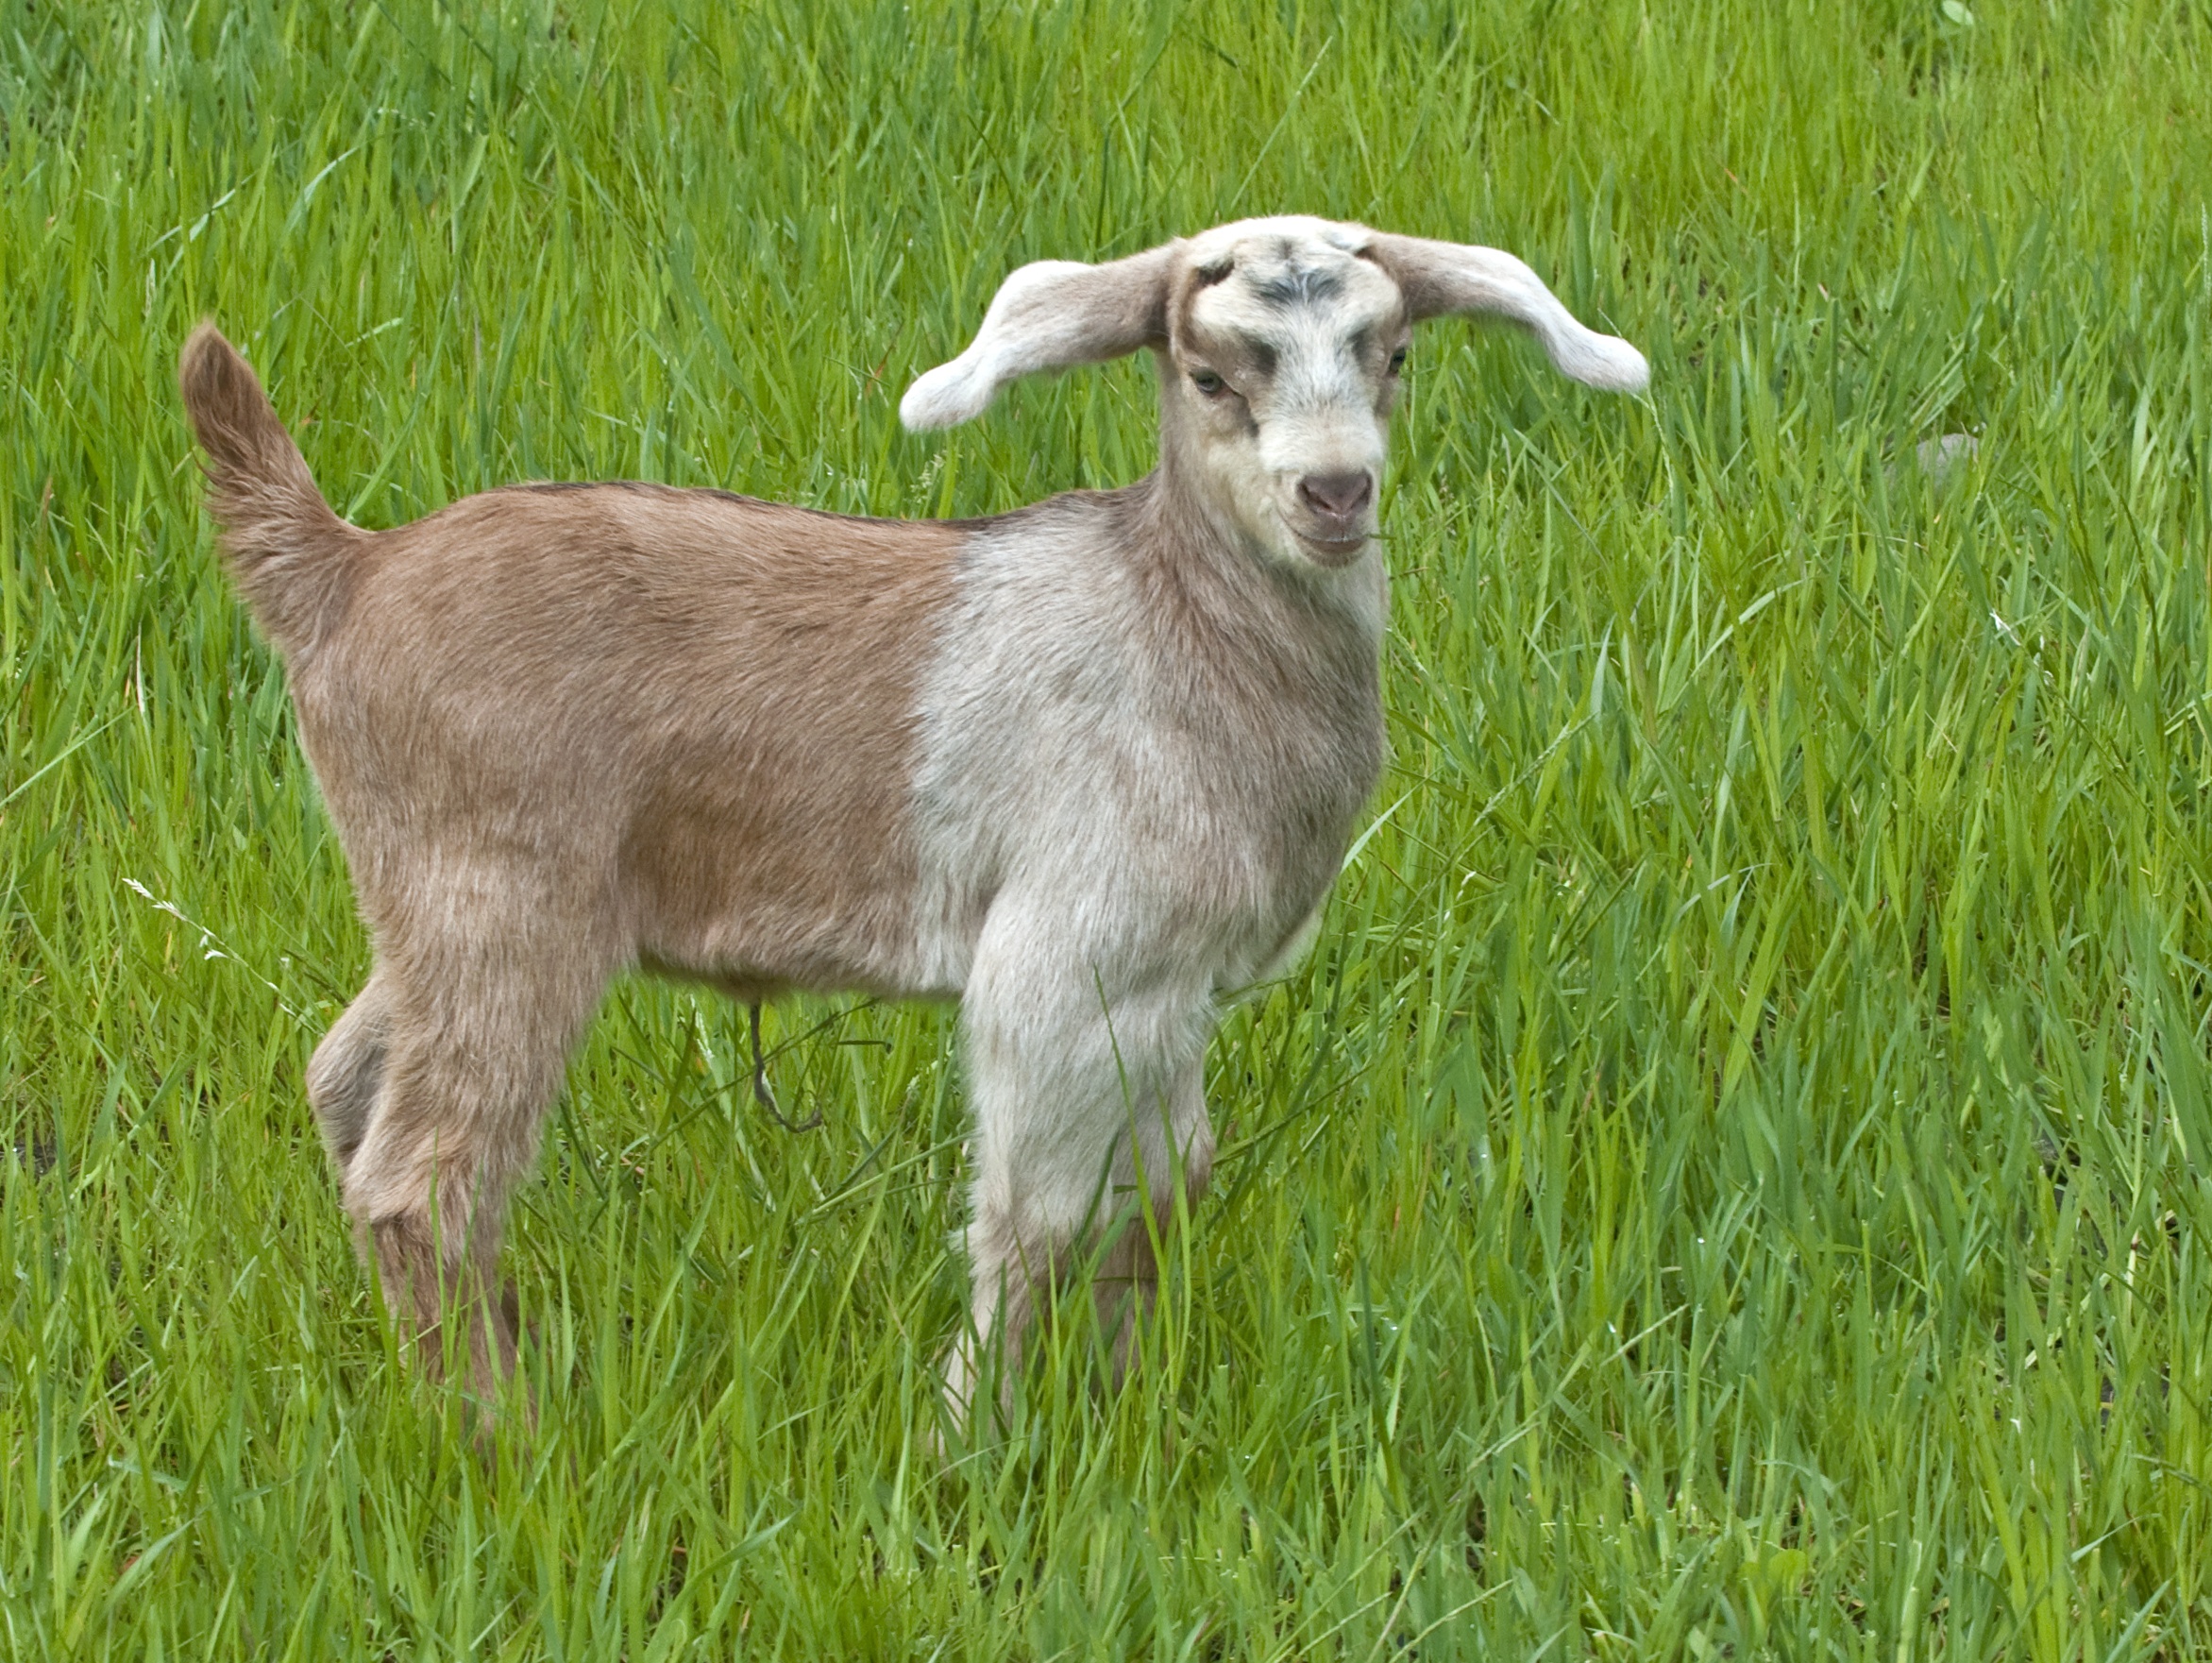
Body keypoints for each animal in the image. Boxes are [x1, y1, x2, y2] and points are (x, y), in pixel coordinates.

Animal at [179, 216, 1646, 1424]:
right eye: (1211, 375)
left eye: (1393, 354)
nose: (1333, 493)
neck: (1176, 626)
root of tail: (343, 573)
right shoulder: (1064, 959)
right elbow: (1038, 1220)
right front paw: (967, 1443)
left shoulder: (1165, 989)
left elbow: (1158, 1197)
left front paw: (1117, 1406)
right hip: (502, 893)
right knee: (422, 1180)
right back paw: (505, 1433)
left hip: (429, 903)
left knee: (346, 1082)